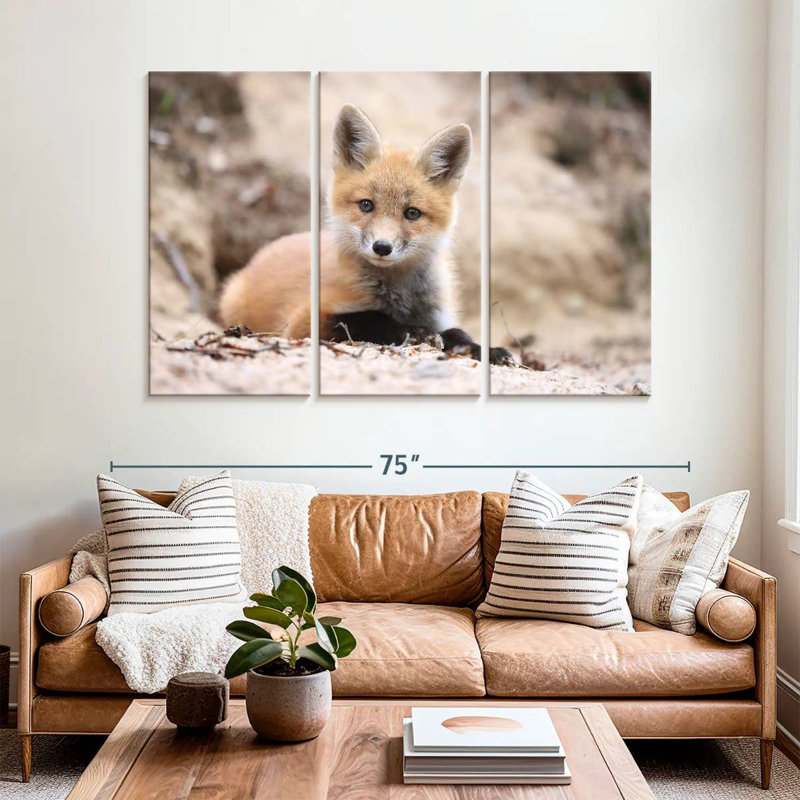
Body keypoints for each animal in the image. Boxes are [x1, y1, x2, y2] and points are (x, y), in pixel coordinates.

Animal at [219, 104, 513, 365]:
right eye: (366, 205)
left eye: (412, 213)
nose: (382, 247)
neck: (400, 298)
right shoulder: (303, 321)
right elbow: (369, 319)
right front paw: (417, 333)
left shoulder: (440, 315)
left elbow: (459, 333)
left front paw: (488, 350)